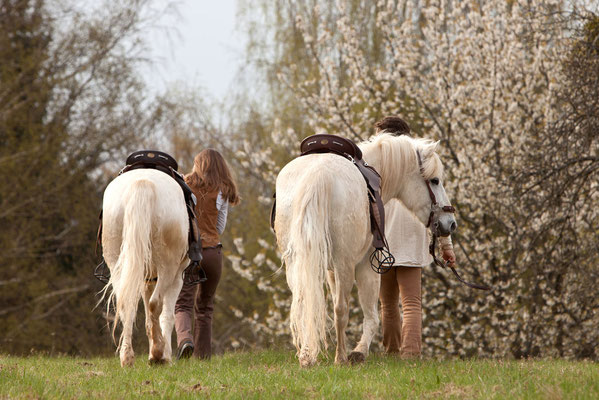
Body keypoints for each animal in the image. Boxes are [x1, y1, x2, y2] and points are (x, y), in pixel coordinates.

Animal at [101, 168, 189, 366]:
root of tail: (142, 183)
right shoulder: (177, 277)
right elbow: (167, 315)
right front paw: (165, 354)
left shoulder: (146, 279)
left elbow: (148, 316)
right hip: (168, 268)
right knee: (155, 303)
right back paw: (158, 352)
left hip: (118, 264)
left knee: (127, 305)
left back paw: (127, 357)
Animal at [274, 133, 458, 368]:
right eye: (435, 180)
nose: (450, 223)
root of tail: (318, 174)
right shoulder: (365, 265)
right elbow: (371, 315)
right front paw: (359, 351)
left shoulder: (330, 269)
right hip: (345, 263)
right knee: (341, 309)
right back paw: (341, 357)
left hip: (296, 263)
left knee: (303, 302)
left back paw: (306, 355)